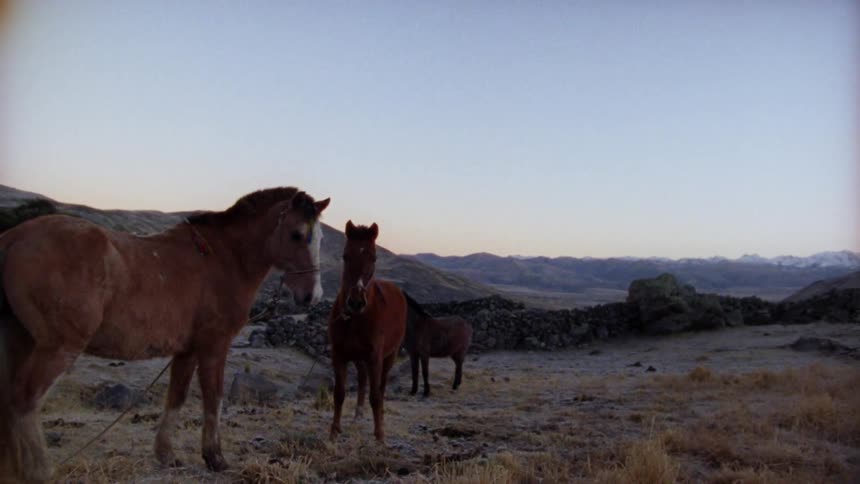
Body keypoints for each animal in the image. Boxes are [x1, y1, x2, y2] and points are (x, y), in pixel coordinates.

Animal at [0, 187, 329, 481]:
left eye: (321, 239)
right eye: (297, 234)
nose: (312, 296)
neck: (223, 259)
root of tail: (14, 237)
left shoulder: (187, 349)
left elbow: (177, 397)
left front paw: (167, 455)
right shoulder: (214, 346)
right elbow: (214, 397)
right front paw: (215, 457)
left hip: (21, 342)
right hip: (58, 348)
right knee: (25, 401)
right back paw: (40, 472)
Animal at [328, 221, 407, 444]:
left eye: (374, 257)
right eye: (345, 256)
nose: (355, 302)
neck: (356, 319)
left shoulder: (375, 358)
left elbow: (375, 395)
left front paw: (379, 436)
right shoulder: (339, 355)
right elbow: (339, 393)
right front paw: (333, 432)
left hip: (389, 356)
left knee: (381, 386)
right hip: (358, 357)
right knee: (363, 379)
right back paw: (358, 414)